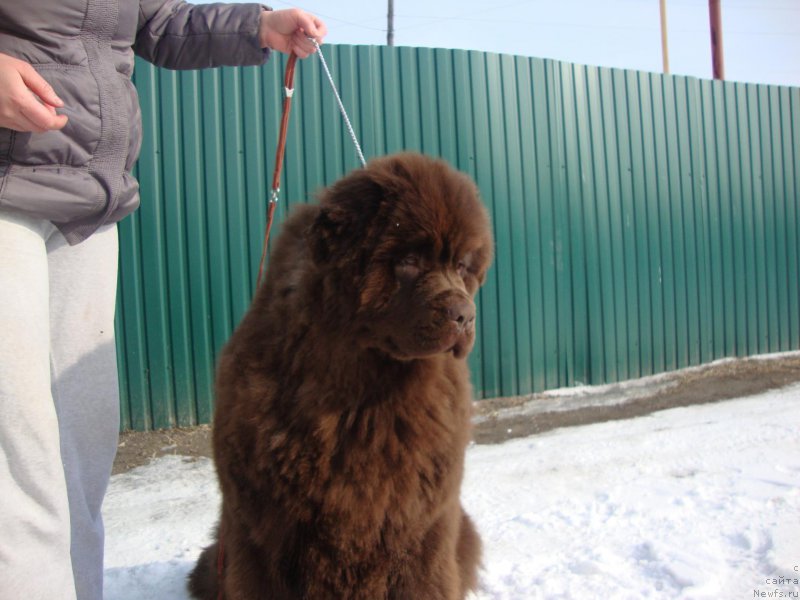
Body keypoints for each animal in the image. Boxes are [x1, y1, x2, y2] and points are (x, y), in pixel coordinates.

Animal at [188, 152, 494, 596]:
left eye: (461, 265)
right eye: (409, 261)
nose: (465, 315)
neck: (361, 397)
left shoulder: (422, 525)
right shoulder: (258, 528)